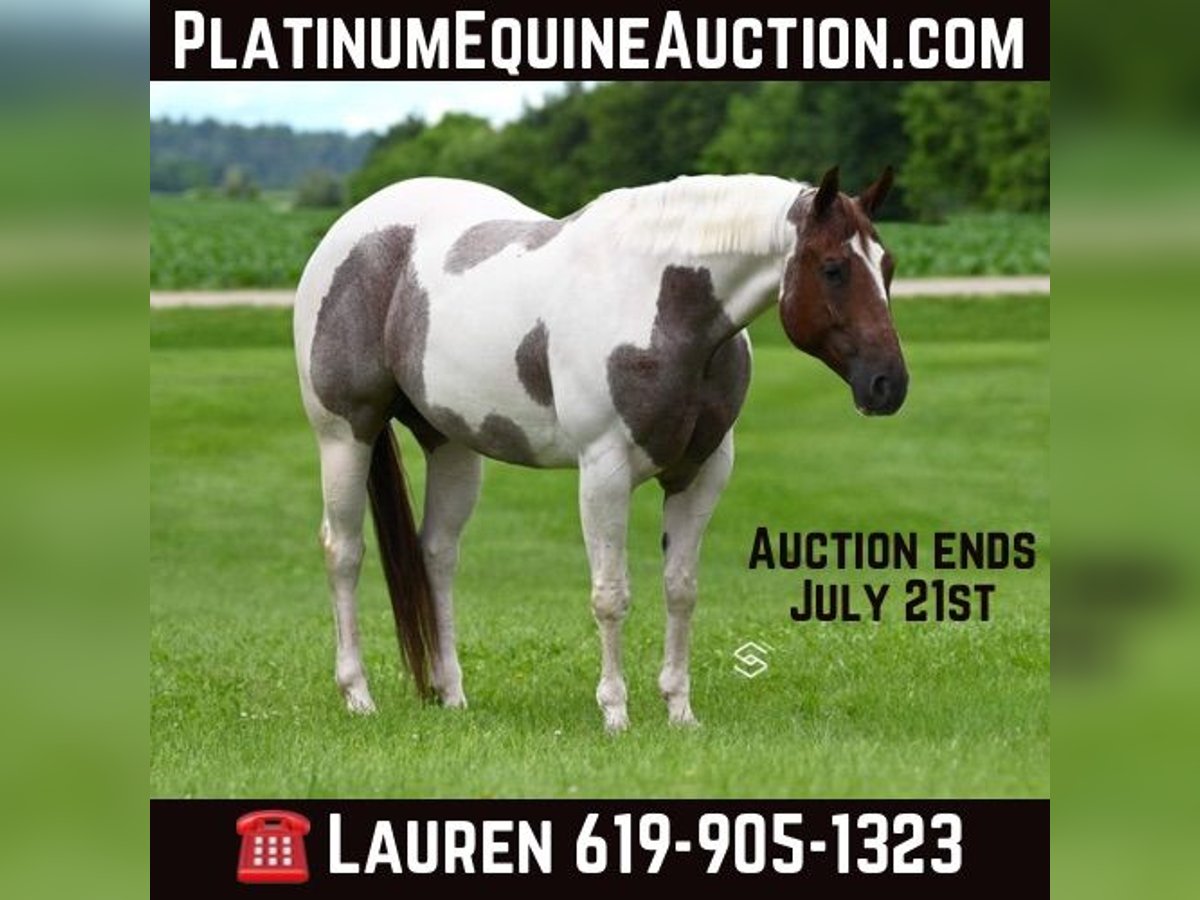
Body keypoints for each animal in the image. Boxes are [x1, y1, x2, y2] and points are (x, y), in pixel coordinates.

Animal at [293, 166, 907, 732]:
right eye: (833, 269)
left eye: (888, 266)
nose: (888, 385)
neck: (661, 304)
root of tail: (352, 231)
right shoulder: (604, 472)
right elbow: (611, 594)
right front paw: (615, 713)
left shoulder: (702, 472)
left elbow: (681, 589)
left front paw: (680, 712)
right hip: (345, 435)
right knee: (343, 551)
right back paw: (358, 696)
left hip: (452, 444)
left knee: (437, 555)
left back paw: (452, 695)